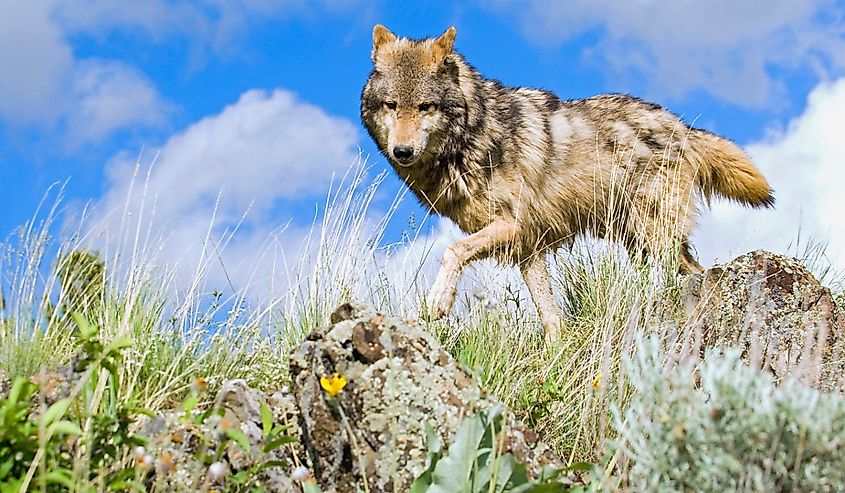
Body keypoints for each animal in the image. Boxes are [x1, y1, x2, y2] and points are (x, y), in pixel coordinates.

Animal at [356, 23, 772, 338]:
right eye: (392, 105)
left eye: (425, 107)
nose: (402, 151)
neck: (475, 135)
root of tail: (681, 126)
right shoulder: (527, 248)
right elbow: (550, 316)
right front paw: (555, 355)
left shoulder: (512, 225)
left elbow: (452, 251)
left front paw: (439, 301)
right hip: (640, 241)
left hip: (654, 236)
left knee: (694, 273)